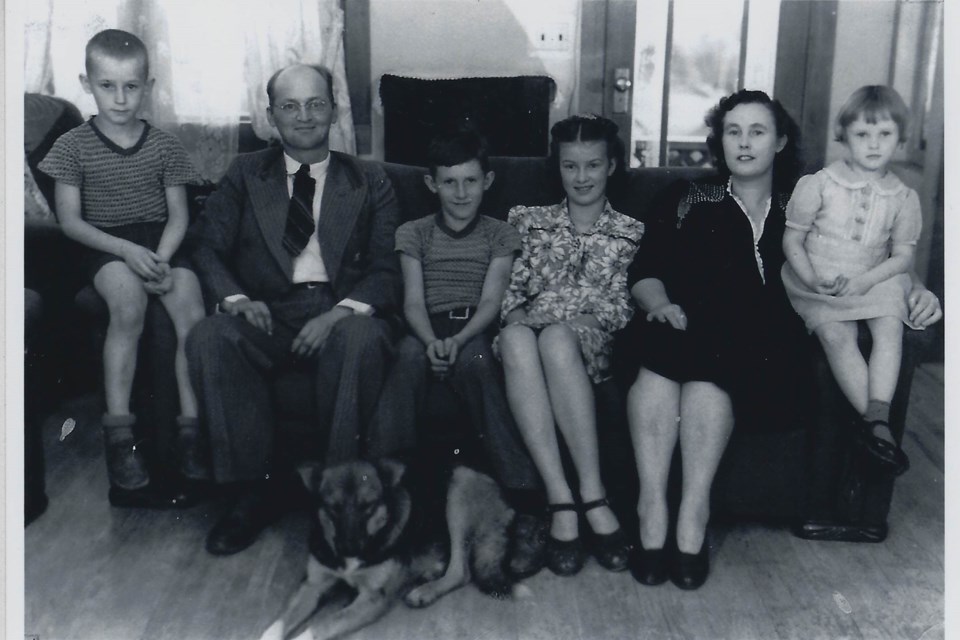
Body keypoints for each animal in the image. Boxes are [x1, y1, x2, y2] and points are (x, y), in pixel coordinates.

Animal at [258, 458, 516, 636]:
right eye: (333, 508)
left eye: (368, 506)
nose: (350, 549)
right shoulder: (312, 586)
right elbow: (276, 625)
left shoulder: (372, 599)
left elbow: (320, 626)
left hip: (458, 490)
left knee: (460, 571)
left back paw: (425, 591)